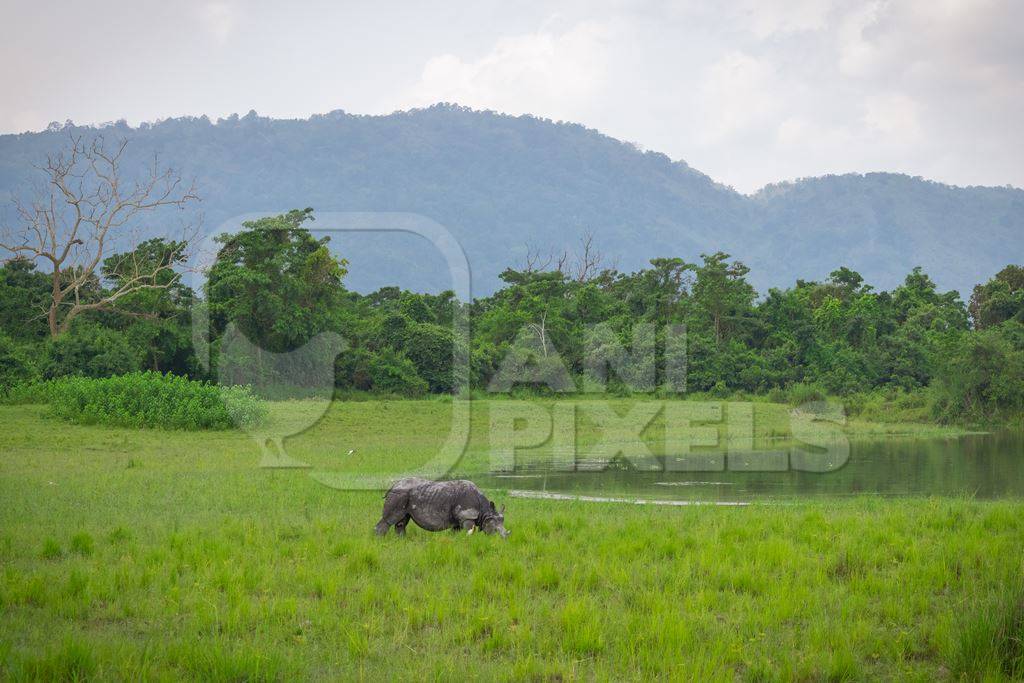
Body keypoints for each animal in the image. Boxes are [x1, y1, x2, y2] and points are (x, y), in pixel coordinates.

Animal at [374, 481, 509, 540]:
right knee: (389, 520)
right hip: (399, 495)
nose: (504, 538)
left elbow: (455, 532)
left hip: (403, 496)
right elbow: (470, 530)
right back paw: (379, 541)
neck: (485, 511)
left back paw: (401, 541)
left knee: (401, 522)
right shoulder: (467, 516)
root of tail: (393, 485)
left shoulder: (458, 519)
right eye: (495, 529)